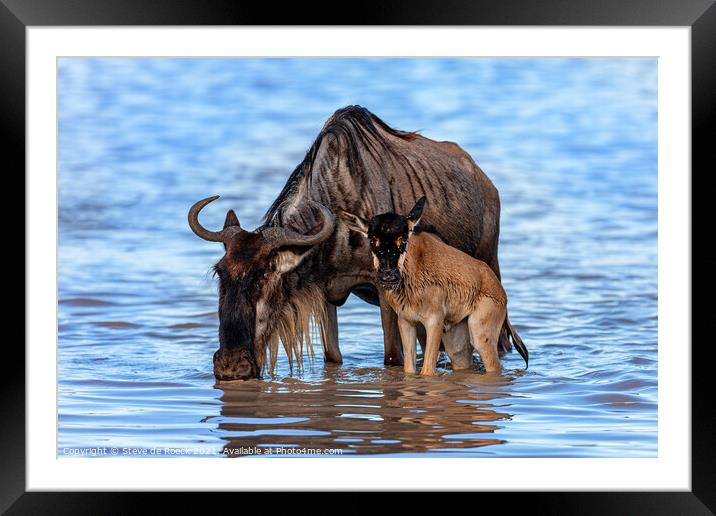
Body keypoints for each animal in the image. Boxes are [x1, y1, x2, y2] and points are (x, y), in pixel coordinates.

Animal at [338, 198, 524, 374]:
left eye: (403, 239)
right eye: (372, 240)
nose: (388, 275)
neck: (414, 268)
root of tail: (499, 290)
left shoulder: (434, 322)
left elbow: (427, 371)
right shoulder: (407, 322)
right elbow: (409, 369)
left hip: (481, 336)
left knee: (494, 366)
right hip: (457, 346)